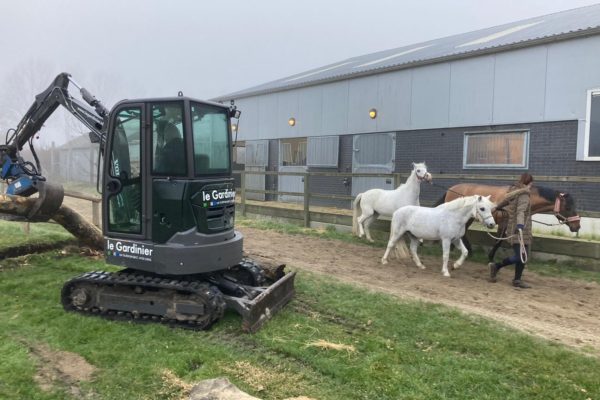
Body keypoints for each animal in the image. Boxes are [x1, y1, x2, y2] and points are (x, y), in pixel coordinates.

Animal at [436, 184, 580, 260]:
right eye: (568, 207)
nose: (577, 226)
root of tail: (451, 188)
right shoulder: (503, 223)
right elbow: (499, 241)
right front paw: (490, 257)